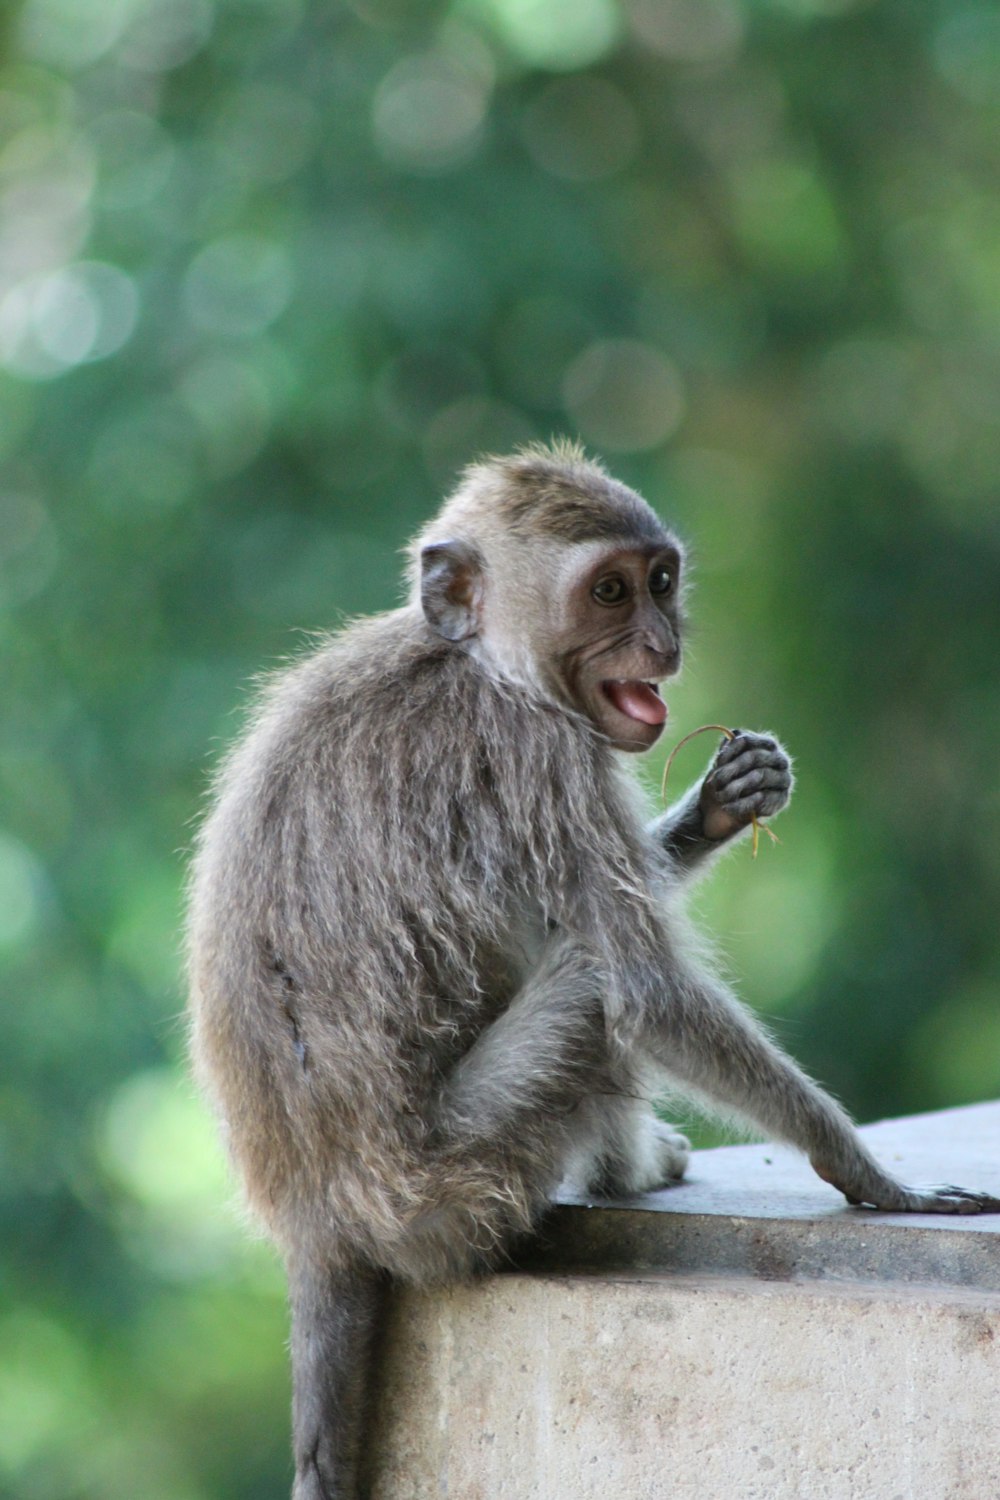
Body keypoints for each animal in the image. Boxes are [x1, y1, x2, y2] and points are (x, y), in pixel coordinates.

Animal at [187, 438, 1000, 1500]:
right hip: (453, 1179)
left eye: (661, 583)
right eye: (609, 592)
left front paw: (720, 804)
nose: (662, 643)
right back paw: (633, 1167)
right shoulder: (539, 754)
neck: (476, 659)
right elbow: (645, 995)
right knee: (591, 987)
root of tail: (314, 1217)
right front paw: (867, 1173)